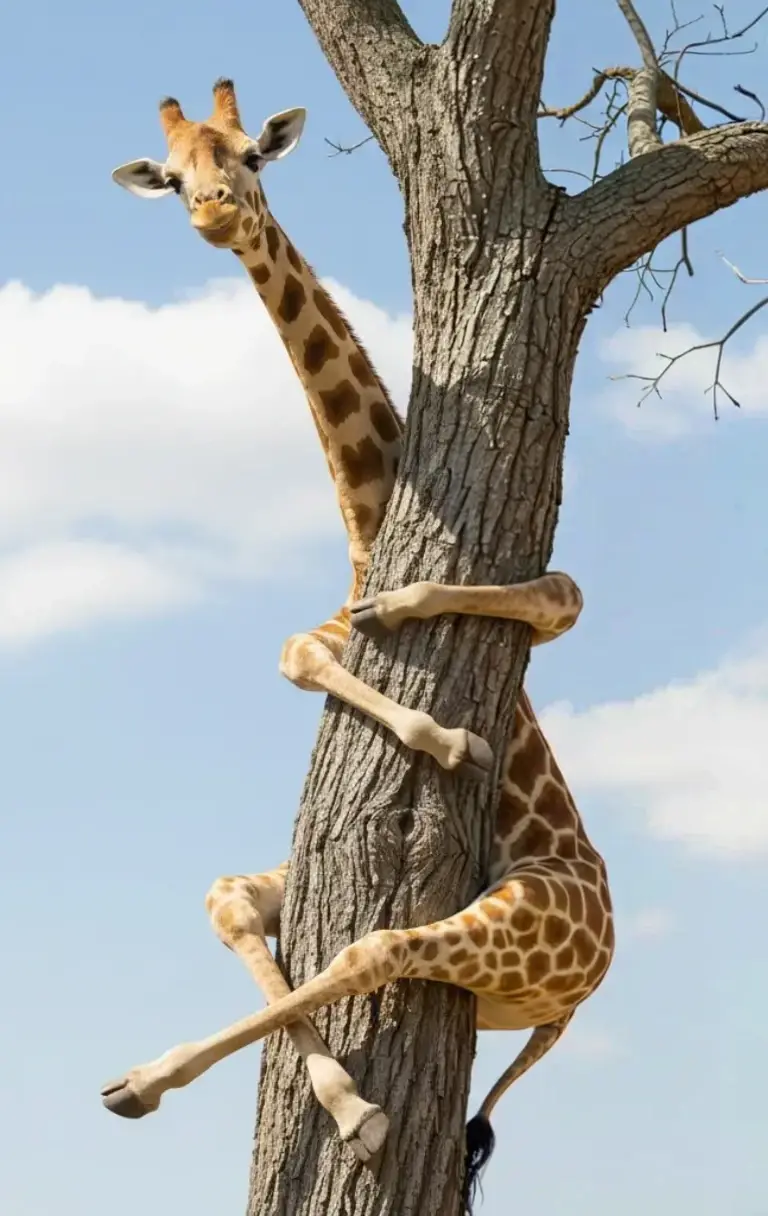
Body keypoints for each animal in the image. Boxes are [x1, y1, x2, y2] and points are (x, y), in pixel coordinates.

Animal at [106, 80, 615, 1203]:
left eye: (250, 156)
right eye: (173, 176)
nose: (214, 213)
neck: (361, 532)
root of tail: (583, 991)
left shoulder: (519, 601)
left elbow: (557, 592)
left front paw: (451, 733)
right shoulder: (325, 621)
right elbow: (298, 653)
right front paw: (437, 727)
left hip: (522, 921)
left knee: (368, 950)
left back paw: (164, 1082)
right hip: (317, 885)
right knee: (232, 901)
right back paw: (325, 1101)